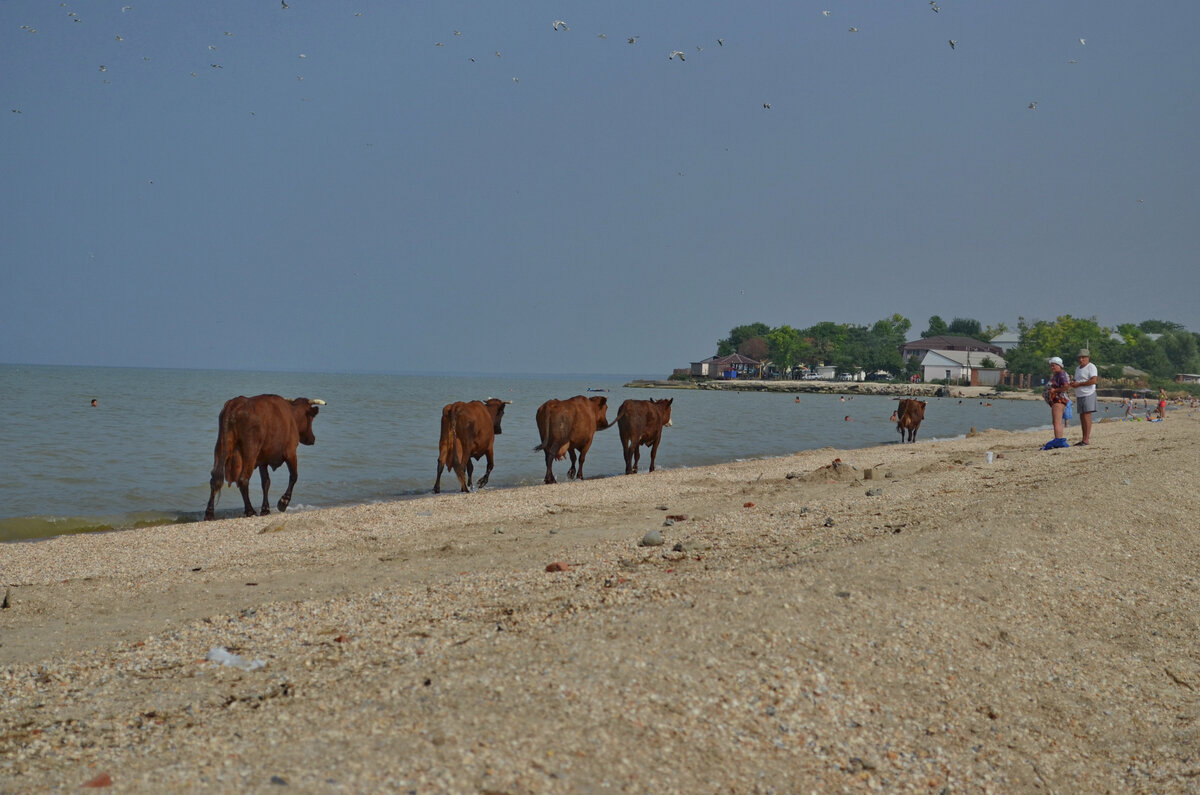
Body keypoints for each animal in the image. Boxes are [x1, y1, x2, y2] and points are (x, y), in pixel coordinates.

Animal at [202, 393, 324, 521]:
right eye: (311, 418)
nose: (312, 438)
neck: (292, 416)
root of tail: (236, 404)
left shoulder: (263, 460)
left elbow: (266, 482)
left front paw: (265, 509)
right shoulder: (291, 452)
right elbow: (294, 476)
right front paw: (283, 502)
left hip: (221, 446)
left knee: (215, 478)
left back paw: (209, 513)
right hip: (250, 451)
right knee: (243, 479)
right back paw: (250, 510)